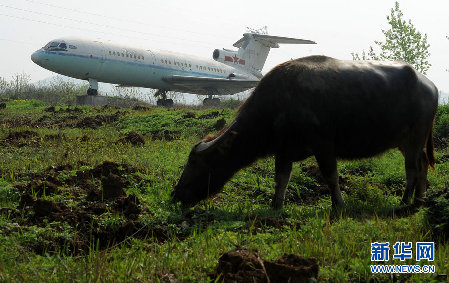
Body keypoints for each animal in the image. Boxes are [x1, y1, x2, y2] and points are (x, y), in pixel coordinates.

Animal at [172, 56, 438, 211]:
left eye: (194, 163)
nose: (175, 194)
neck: (280, 104)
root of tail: (430, 86)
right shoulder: (283, 150)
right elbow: (281, 178)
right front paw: (276, 205)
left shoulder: (323, 145)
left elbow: (331, 176)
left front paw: (338, 205)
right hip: (407, 141)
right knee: (423, 163)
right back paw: (420, 199)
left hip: (416, 136)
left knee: (412, 168)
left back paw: (404, 201)